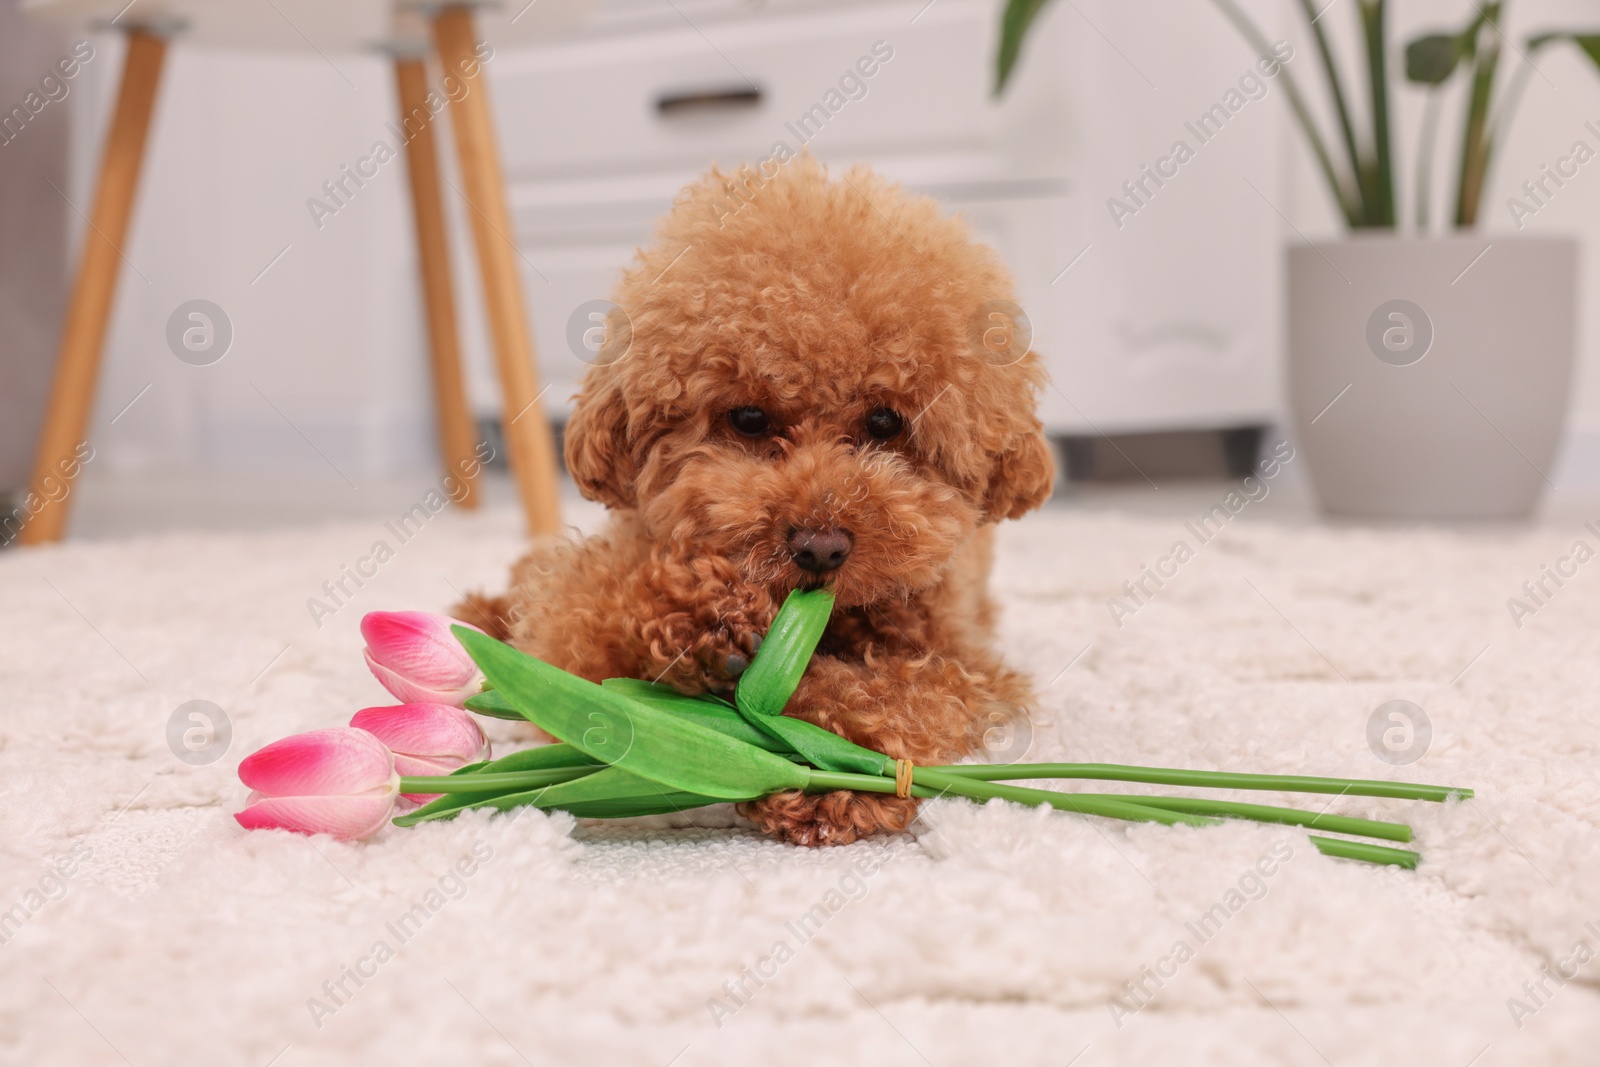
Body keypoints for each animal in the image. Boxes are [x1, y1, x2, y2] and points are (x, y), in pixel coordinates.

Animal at [464, 154, 1056, 844]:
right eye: (748, 417)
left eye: (885, 422)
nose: (820, 547)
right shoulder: (589, 601)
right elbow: (579, 648)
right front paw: (699, 619)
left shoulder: (964, 662)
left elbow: (911, 692)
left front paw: (828, 766)